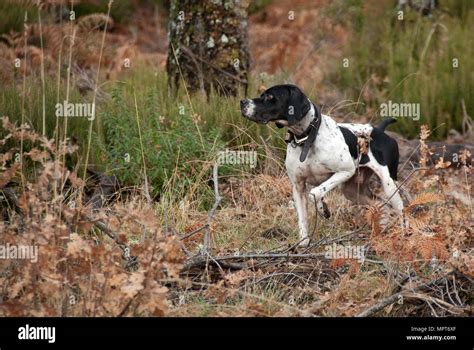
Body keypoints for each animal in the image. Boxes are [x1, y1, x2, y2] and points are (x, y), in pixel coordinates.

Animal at [241, 84, 404, 247]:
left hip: (389, 185)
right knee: (381, 205)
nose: (242, 102)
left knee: (400, 209)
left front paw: (322, 209)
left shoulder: (345, 171)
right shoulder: (298, 186)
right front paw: (303, 242)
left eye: (270, 97)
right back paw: (380, 232)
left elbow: (315, 192)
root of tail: (379, 130)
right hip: (351, 190)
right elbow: (302, 219)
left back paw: (403, 234)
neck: (307, 138)